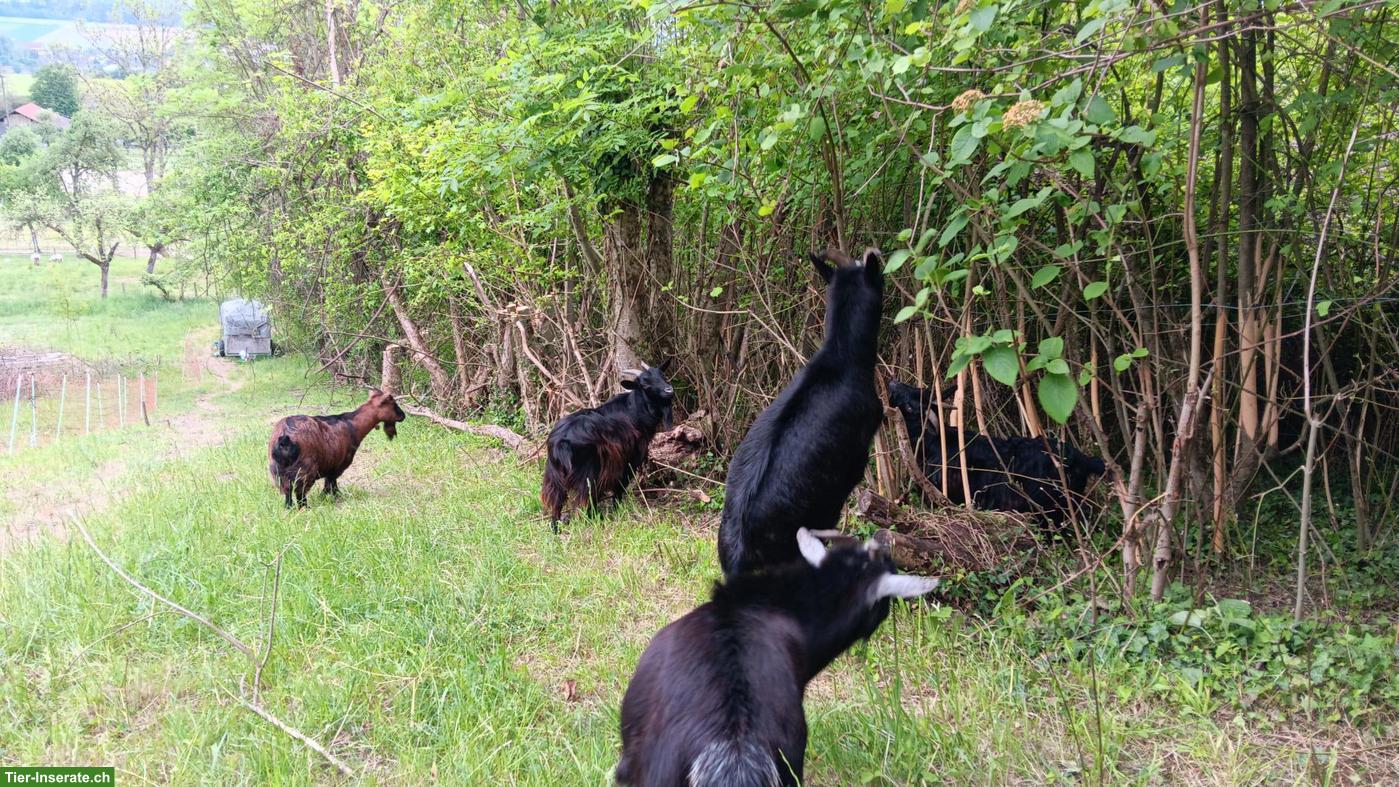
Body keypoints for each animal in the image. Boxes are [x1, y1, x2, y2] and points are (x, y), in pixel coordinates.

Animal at [268, 388, 406, 508]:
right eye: (393, 404)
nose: (403, 415)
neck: (352, 425)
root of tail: (285, 438)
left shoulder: (331, 467)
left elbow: (330, 485)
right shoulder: (338, 465)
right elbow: (331, 485)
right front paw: (334, 497)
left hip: (278, 472)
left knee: (288, 492)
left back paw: (289, 508)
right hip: (305, 470)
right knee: (300, 493)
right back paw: (305, 508)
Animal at [541, 362, 674, 533]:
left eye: (662, 375)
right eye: (645, 384)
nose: (669, 390)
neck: (635, 411)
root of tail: (561, 442)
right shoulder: (628, 460)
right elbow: (619, 488)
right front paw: (616, 510)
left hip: (555, 477)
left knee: (557, 504)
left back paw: (556, 530)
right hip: (587, 475)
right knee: (583, 502)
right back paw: (591, 520)